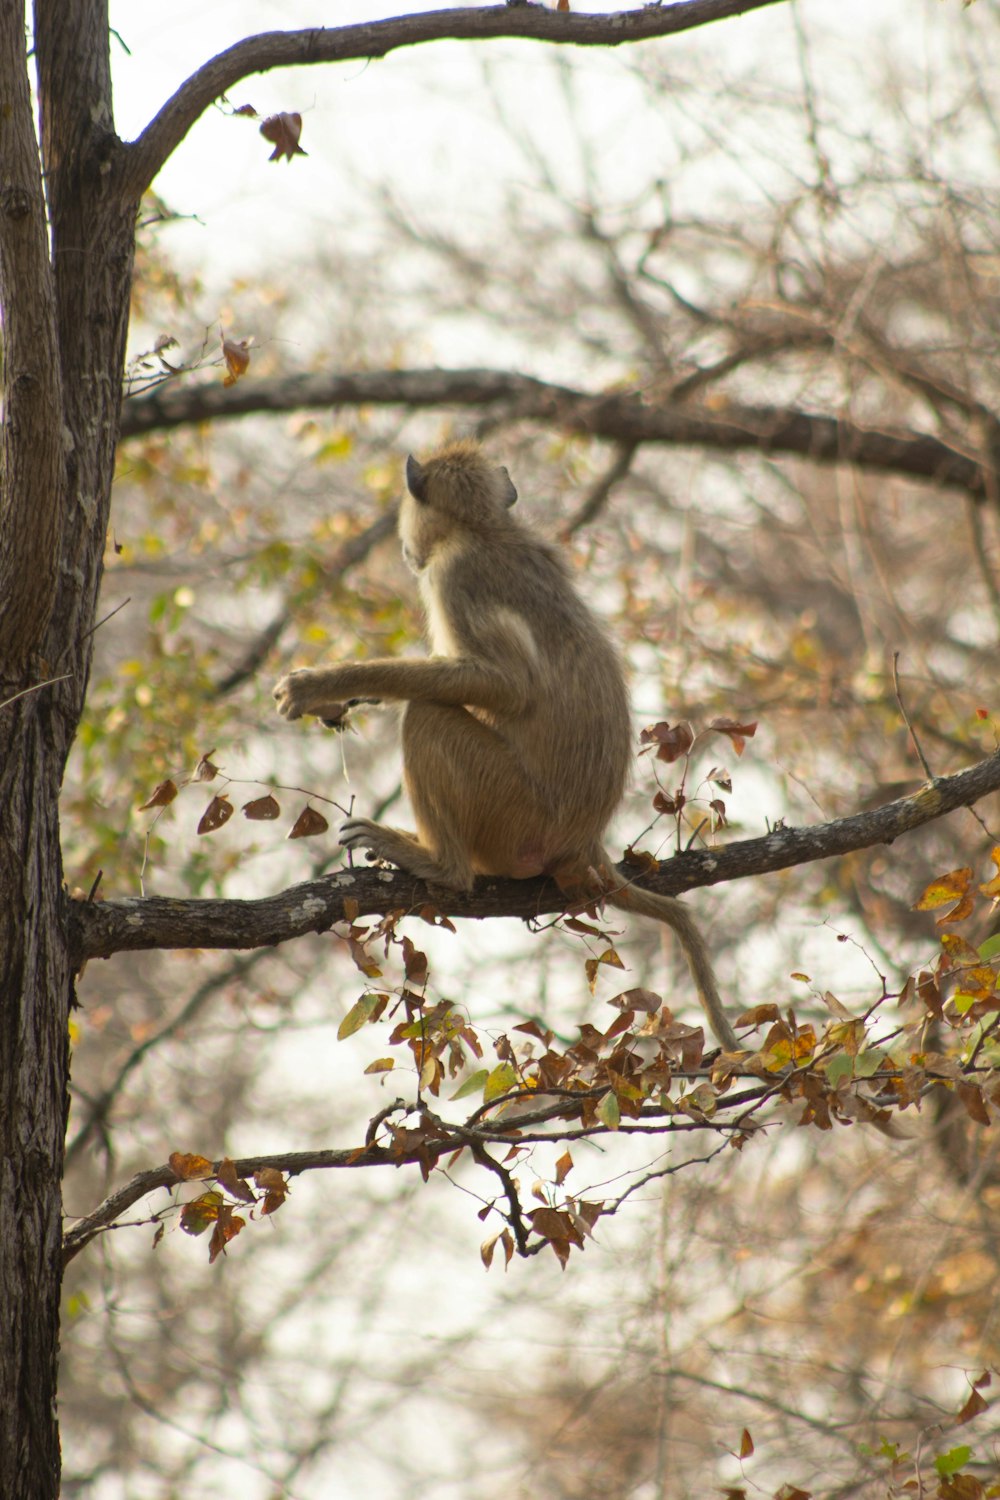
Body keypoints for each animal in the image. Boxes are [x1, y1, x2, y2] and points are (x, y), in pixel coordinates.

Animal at [274, 441, 743, 1056]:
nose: (405, 551)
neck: (485, 529)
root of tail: (583, 843)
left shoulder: (453, 575)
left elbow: (504, 686)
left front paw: (319, 685)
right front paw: (345, 695)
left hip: (513, 815)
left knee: (426, 715)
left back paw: (441, 865)